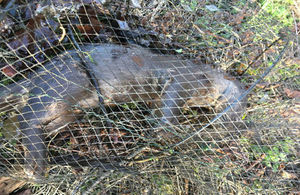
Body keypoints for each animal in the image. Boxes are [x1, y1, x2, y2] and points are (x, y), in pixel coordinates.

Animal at [0, 43, 245, 179]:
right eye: (236, 112)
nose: (231, 127)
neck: (206, 82)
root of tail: (37, 74)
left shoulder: (160, 98)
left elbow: (158, 110)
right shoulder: (181, 82)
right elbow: (169, 112)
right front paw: (170, 130)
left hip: (72, 108)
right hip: (67, 84)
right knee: (27, 116)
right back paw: (36, 168)